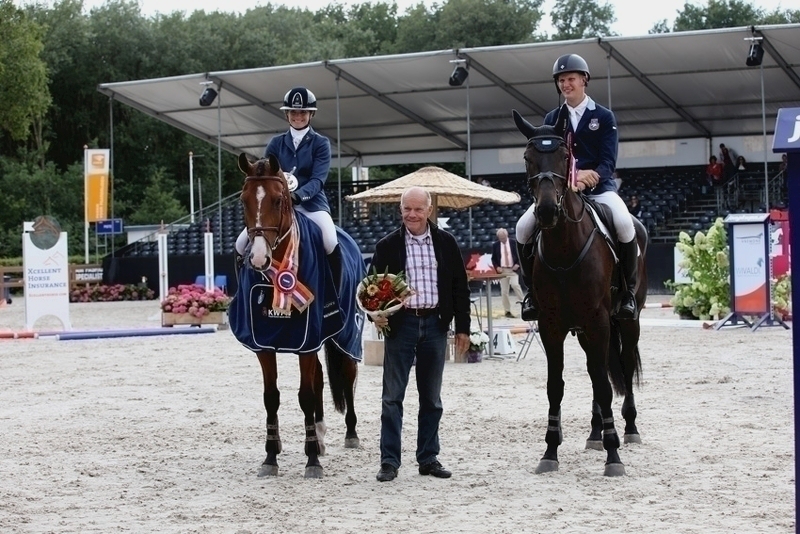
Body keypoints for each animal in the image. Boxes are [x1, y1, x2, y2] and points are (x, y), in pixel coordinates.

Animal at [229, 153, 365, 479]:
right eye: (243, 200)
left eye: (278, 200)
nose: (258, 258)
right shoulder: (264, 342)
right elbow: (272, 397)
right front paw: (270, 457)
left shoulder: (307, 338)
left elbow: (305, 395)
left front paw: (312, 460)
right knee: (320, 378)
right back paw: (320, 434)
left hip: (344, 334)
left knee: (347, 375)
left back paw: (350, 435)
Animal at [513, 107, 647, 477]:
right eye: (528, 158)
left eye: (564, 155)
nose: (546, 211)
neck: (564, 247)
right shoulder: (551, 325)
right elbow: (555, 386)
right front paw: (550, 451)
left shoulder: (598, 321)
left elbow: (604, 383)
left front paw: (614, 457)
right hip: (586, 331)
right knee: (594, 369)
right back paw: (595, 432)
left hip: (626, 322)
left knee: (622, 367)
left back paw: (628, 430)